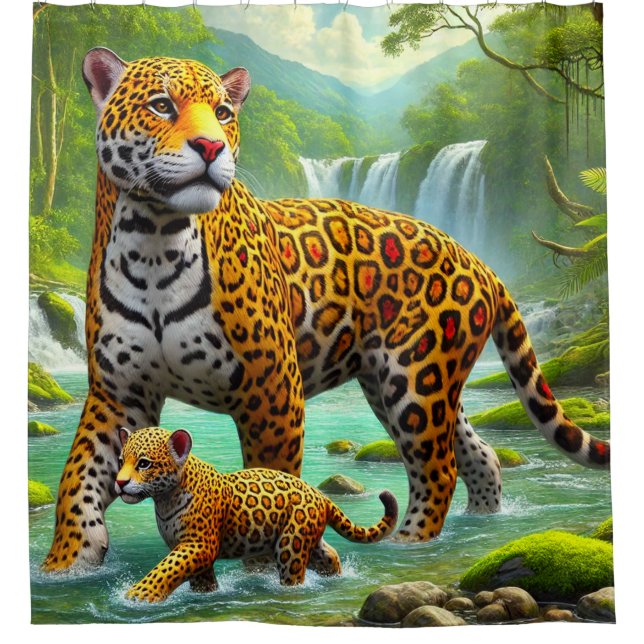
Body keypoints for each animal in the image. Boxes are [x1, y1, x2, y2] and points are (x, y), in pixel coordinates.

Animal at [42, 48, 610, 572]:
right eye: (162, 105)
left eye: (223, 112)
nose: (211, 146)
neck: (153, 242)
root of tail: (476, 257)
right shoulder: (119, 394)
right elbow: (77, 479)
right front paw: (66, 564)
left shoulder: (272, 389)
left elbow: (271, 479)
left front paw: (260, 575)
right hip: (407, 383)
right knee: (480, 454)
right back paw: (480, 525)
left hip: (415, 381)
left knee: (438, 467)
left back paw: (407, 546)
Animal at [115, 426, 397, 601]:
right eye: (120, 461)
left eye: (144, 463)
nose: (119, 482)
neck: (164, 499)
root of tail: (320, 495)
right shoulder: (194, 553)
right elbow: (197, 580)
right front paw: (205, 595)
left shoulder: (198, 545)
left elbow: (164, 569)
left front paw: (138, 595)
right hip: (308, 540)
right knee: (329, 555)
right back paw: (337, 578)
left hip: (290, 544)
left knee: (294, 574)